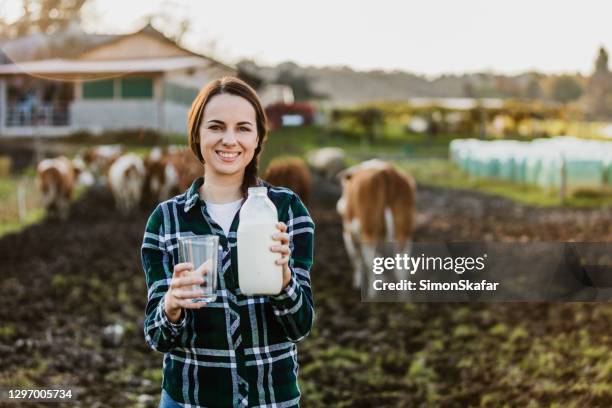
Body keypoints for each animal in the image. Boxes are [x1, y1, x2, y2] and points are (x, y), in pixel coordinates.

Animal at [334, 159, 416, 294]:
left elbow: (356, 259)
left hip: (369, 231)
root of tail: (388, 171)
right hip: (404, 231)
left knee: (369, 261)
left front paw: (357, 283)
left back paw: (372, 293)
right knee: (402, 267)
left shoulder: (347, 233)